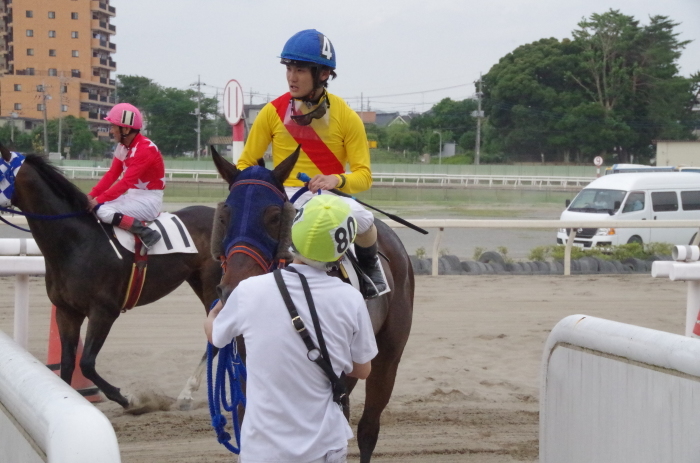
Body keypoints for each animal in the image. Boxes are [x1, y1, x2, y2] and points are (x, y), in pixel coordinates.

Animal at [211, 146, 412, 463]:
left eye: (274, 216)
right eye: (224, 216)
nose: (234, 288)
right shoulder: (250, 371)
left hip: (388, 356)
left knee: (368, 428)